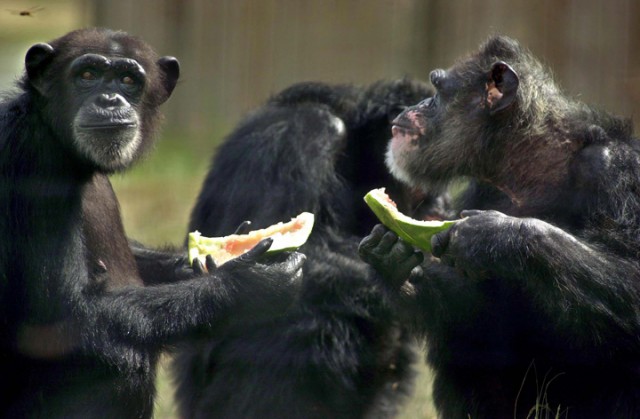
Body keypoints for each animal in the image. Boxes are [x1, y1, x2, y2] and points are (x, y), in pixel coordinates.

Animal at [0, 27, 304, 418]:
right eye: (87, 74)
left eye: (128, 80)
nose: (110, 99)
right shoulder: (33, 163)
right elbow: (60, 318)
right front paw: (247, 286)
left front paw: (200, 264)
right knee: (123, 359)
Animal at [360, 35, 640, 416]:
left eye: (437, 89)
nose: (414, 105)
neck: (530, 163)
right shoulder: (481, 189)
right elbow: (475, 307)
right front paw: (394, 266)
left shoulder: (620, 173)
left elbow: (633, 279)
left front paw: (498, 235)